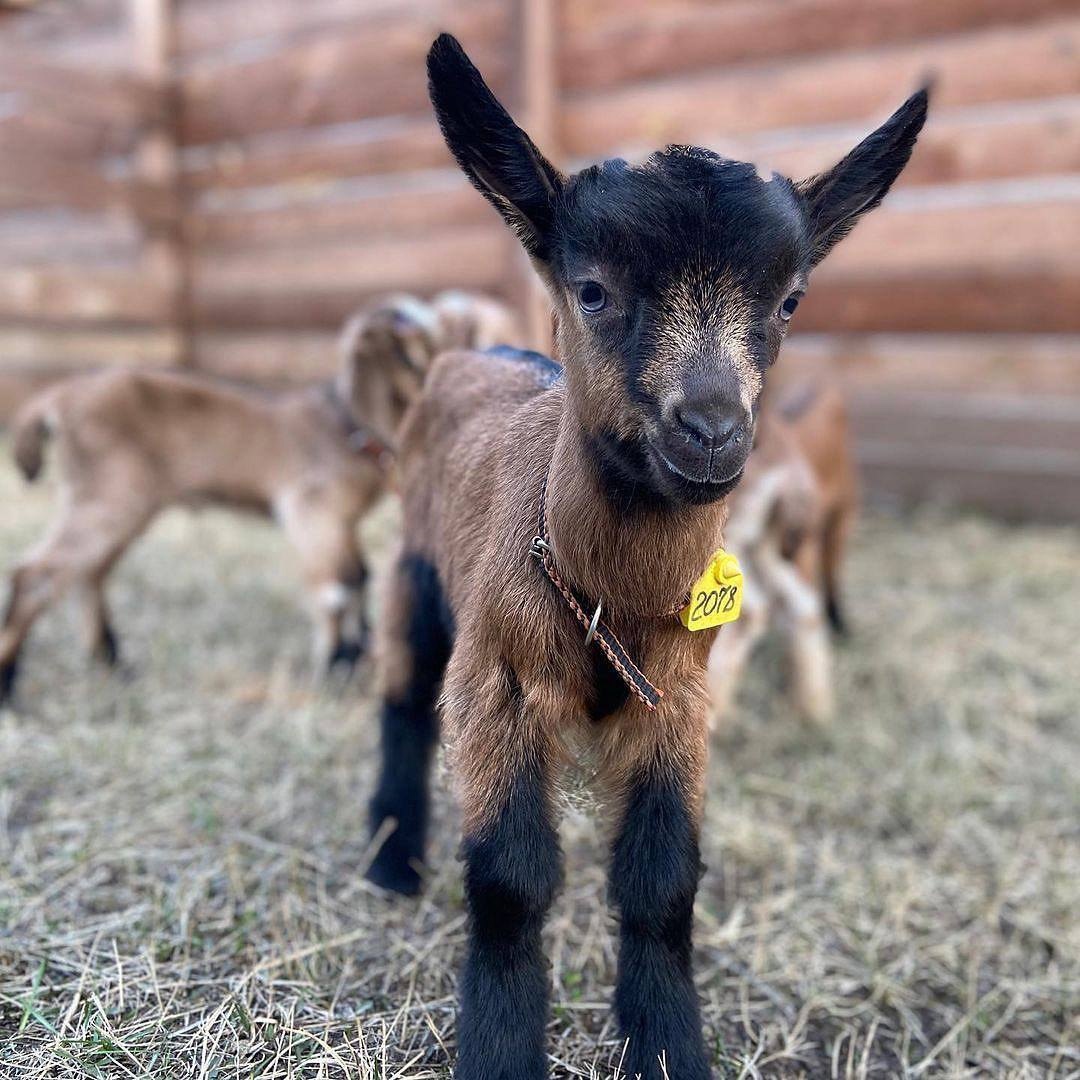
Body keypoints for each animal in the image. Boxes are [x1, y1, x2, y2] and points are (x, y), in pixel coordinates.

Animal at [0, 291, 522, 704]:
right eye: (421, 319)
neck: (346, 425)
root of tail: (57, 398)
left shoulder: (341, 523)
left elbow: (358, 575)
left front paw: (355, 656)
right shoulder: (310, 512)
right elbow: (337, 586)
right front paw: (336, 669)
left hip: (119, 503)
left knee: (88, 574)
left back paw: (113, 664)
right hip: (109, 498)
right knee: (37, 575)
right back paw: (10, 683)